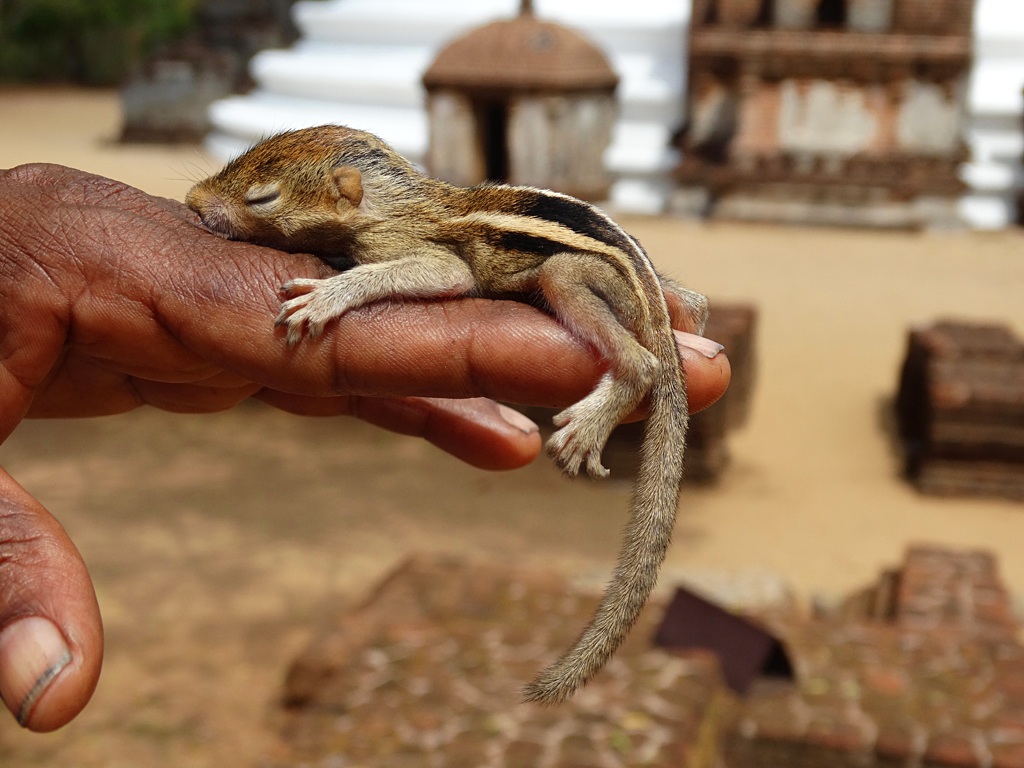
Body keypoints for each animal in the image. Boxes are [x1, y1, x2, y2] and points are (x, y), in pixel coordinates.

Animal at [186, 125, 710, 705]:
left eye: (262, 198)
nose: (192, 203)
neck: (395, 200)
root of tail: (655, 312)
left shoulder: (414, 251)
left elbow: (438, 273)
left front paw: (328, 295)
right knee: (694, 302)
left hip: (572, 276)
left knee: (640, 361)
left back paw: (594, 420)